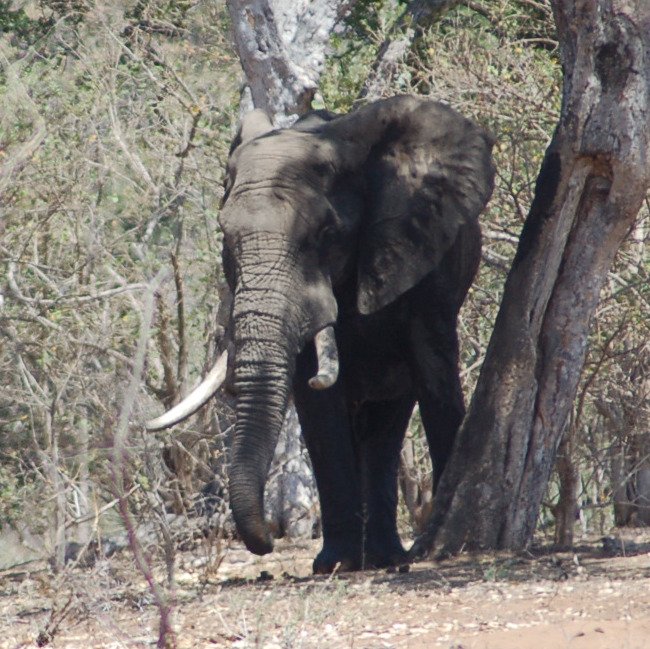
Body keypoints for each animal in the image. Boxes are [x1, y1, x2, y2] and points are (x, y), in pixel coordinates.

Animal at [147, 95, 492, 572]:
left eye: (325, 235)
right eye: (226, 240)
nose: (266, 543)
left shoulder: (423, 259)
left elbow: (435, 376)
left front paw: (430, 546)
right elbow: (319, 407)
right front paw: (336, 564)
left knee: (388, 418)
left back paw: (387, 556)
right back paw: (373, 557)